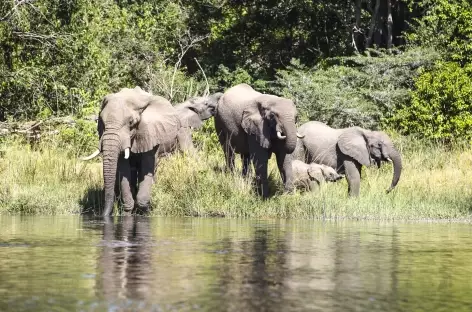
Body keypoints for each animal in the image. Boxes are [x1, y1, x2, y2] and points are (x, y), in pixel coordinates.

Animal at [81, 86, 181, 216]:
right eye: (101, 121)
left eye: (131, 122)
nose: (103, 215)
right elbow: (124, 170)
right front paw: (127, 211)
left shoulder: (150, 132)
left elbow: (146, 167)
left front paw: (144, 211)